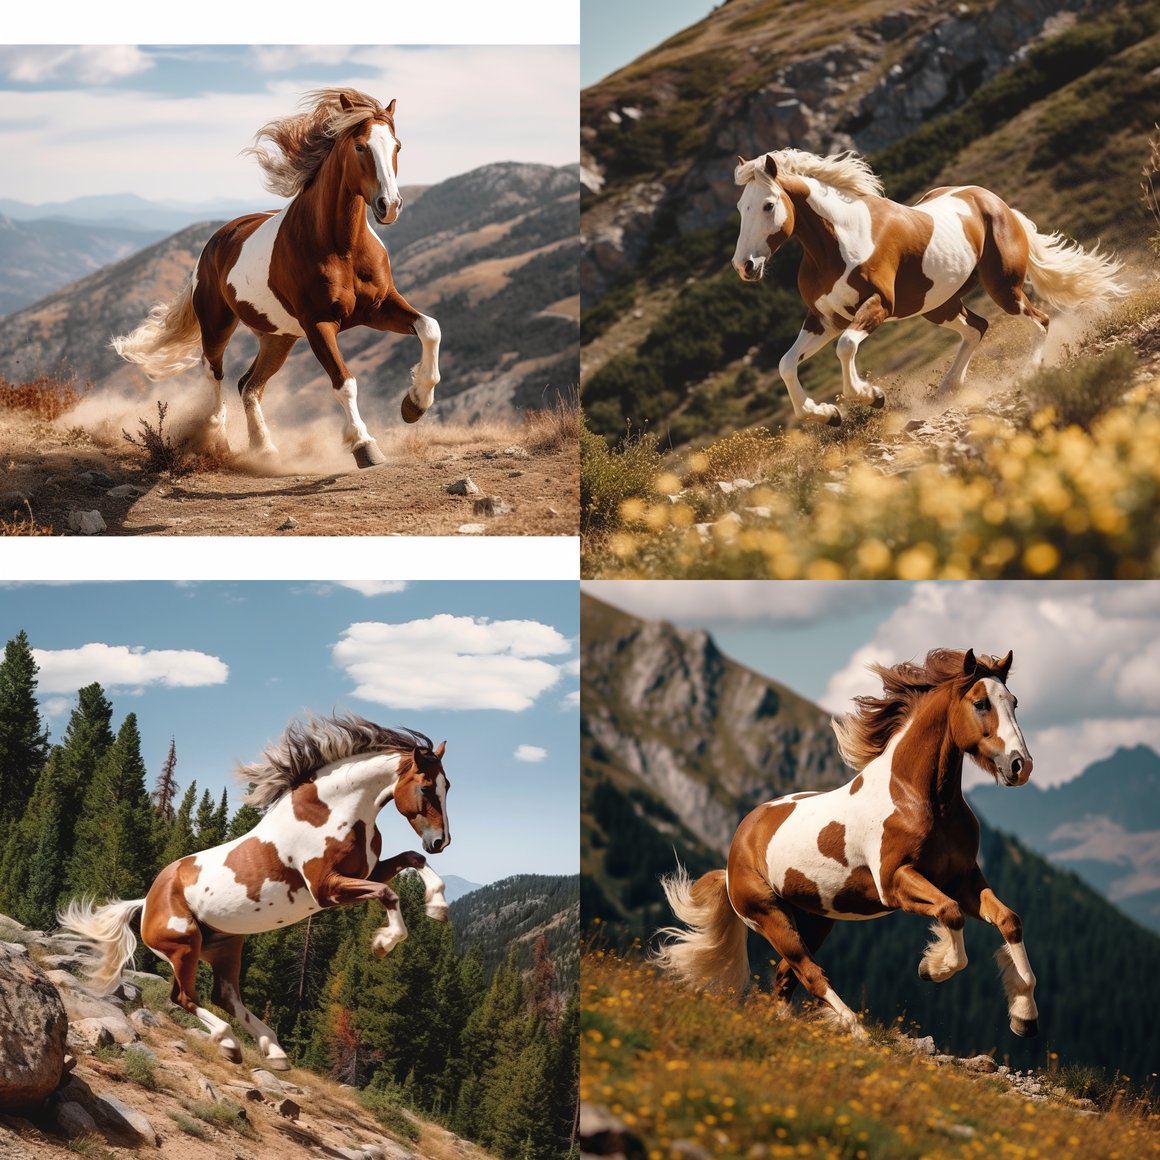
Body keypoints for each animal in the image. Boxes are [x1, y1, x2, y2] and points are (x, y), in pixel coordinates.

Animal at [58, 714, 451, 1070]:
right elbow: (387, 894)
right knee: (184, 997)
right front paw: (384, 943)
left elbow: (411, 860)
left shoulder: (366, 871)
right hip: (184, 946)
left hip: (226, 946)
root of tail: (146, 902)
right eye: (426, 788)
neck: (333, 812)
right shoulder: (327, 889)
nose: (440, 842)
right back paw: (230, 1043)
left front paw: (437, 907)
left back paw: (274, 1051)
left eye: (447, 786)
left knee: (224, 995)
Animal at [111, 88, 442, 469]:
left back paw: (264, 447)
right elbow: (344, 381)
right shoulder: (318, 324)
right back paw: (220, 443)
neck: (340, 247)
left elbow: (430, 327)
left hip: (277, 338)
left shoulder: (379, 308)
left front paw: (415, 404)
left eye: (397, 146)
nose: (390, 206)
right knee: (214, 375)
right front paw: (363, 444)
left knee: (248, 384)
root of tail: (216, 242)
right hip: (218, 326)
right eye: (360, 146)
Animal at [655, 648, 1038, 1042]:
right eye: (980, 703)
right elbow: (950, 913)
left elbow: (1009, 920)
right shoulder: (895, 882)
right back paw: (857, 1032)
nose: (1020, 766)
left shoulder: (962, 879)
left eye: (1013, 702)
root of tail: (736, 850)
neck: (918, 798)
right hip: (769, 916)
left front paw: (1024, 1017)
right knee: (810, 974)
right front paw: (932, 967)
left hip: (814, 922)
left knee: (785, 976)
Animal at [731, 149, 1127, 425]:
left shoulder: (877, 307)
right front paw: (828, 414)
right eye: (739, 207)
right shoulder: (824, 320)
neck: (838, 242)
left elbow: (846, 348)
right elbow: (786, 364)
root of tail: (996, 204)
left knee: (1040, 320)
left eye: (768, 205)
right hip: (938, 306)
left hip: (1003, 289)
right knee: (977, 327)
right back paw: (946, 390)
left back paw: (1027, 372)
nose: (744, 266)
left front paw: (872, 396)